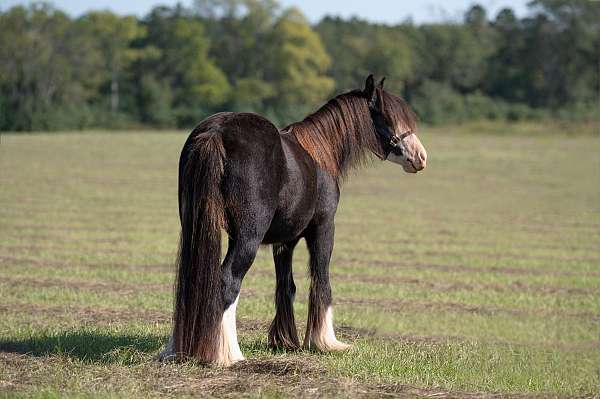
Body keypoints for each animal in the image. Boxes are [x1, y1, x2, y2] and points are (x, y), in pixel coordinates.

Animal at [159, 75, 428, 366]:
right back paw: (229, 353)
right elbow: (321, 281)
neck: (320, 154)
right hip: (247, 237)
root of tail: (217, 132)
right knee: (227, 281)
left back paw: (177, 349)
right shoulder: (323, 228)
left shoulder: (284, 242)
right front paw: (325, 341)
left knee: (192, 283)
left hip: (195, 227)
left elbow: (286, 286)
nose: (420, 156)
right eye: (388, 117)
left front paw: (284, 340)